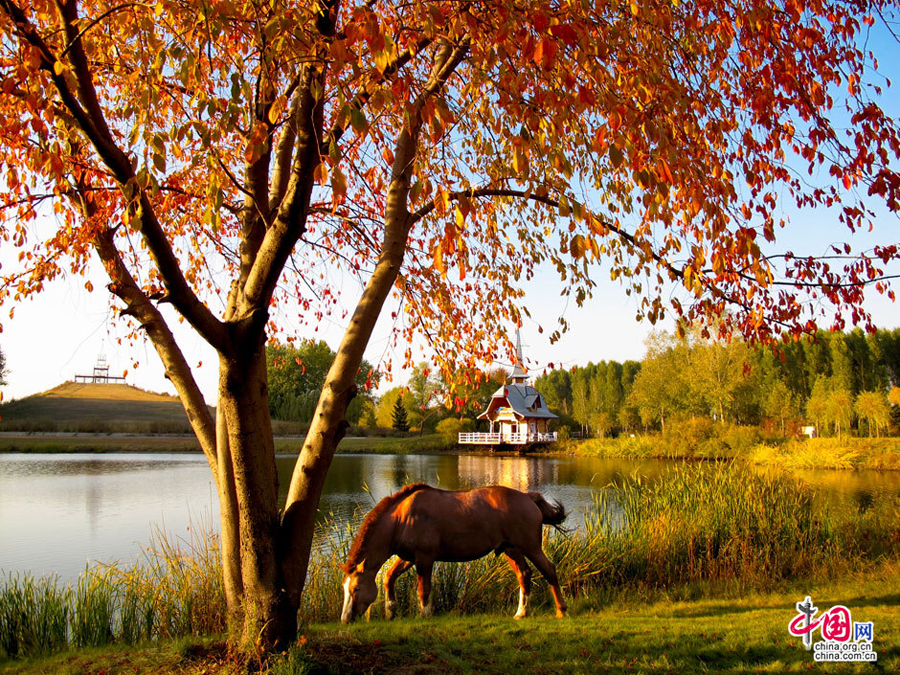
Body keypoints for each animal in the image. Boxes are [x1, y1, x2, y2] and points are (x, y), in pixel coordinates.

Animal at [342, 484, 568, 624]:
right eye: (345, 589)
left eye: (356, 588)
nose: (345, 619)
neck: (402, 517)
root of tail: (528, 497)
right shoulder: (408, 558)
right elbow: (389, 578)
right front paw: (390, 612)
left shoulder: (425, 559)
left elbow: (423, 590)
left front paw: (425, 615)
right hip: (511, 549)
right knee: (524, 575)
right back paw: (522, 612)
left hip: (531, 547)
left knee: (549, 570)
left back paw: (561, 610)